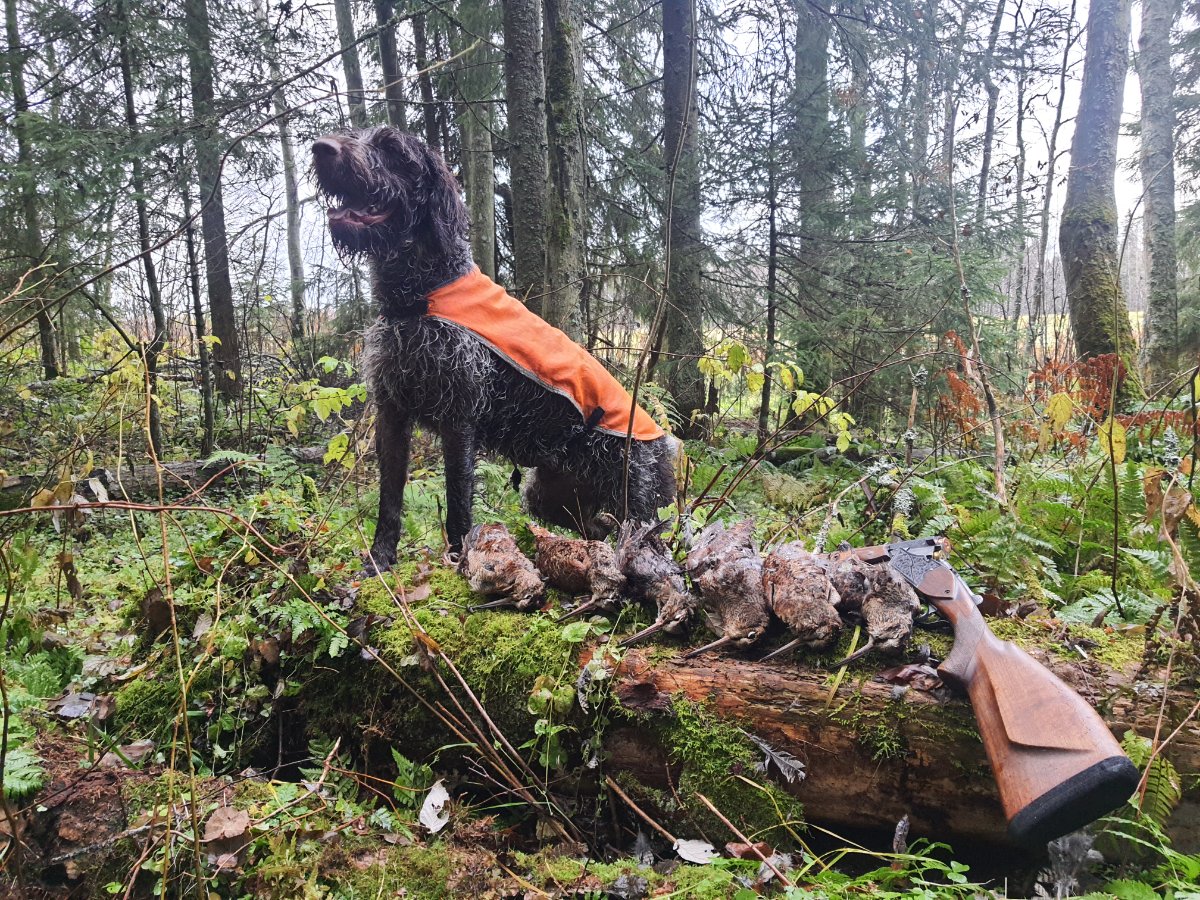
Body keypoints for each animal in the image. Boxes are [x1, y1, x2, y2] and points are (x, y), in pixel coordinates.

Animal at [312, 127, 677, 572]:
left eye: (392, 149)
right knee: (596, 529)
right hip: (547, 496)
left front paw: (458, 563)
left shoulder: (459, 418)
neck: (418, 298)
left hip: (637, 502)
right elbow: (389, 501)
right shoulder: (392, 413)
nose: (321, 149)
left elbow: (457, 504)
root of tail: (664, 443)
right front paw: (380, 562)